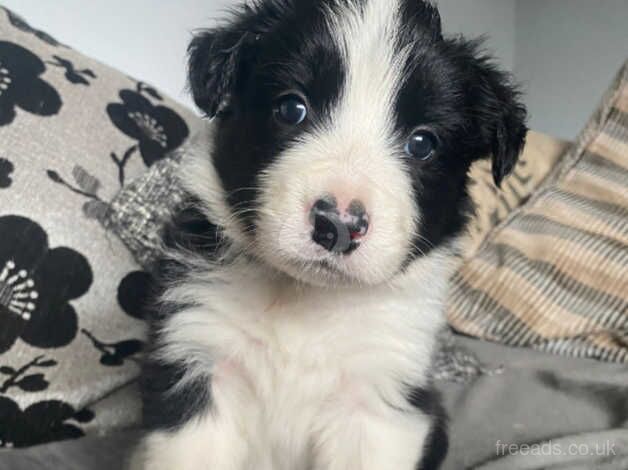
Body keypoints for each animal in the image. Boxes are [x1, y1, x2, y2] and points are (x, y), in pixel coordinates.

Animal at [131, 0, 524, 470]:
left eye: (423, 143)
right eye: (291, 109)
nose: (338, 225)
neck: (305, 301)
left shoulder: (376, 400)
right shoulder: (198, 354)